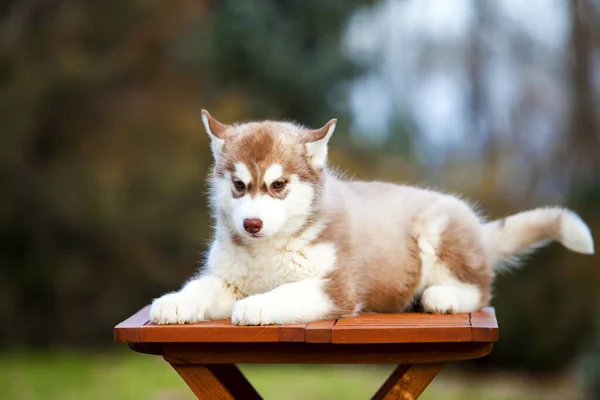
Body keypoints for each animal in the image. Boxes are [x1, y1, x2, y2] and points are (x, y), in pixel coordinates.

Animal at [149, 111, 592, 326]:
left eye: (278, 185)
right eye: (239, 185)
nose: (251, 225)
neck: (269, 250)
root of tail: (478, 228)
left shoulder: (337, 288)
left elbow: (287, 292)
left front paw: (257, 306)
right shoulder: (228, 278)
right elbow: (202, 288)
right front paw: (173, 303)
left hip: (436, 231)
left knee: (480, 291)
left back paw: (442, 297)